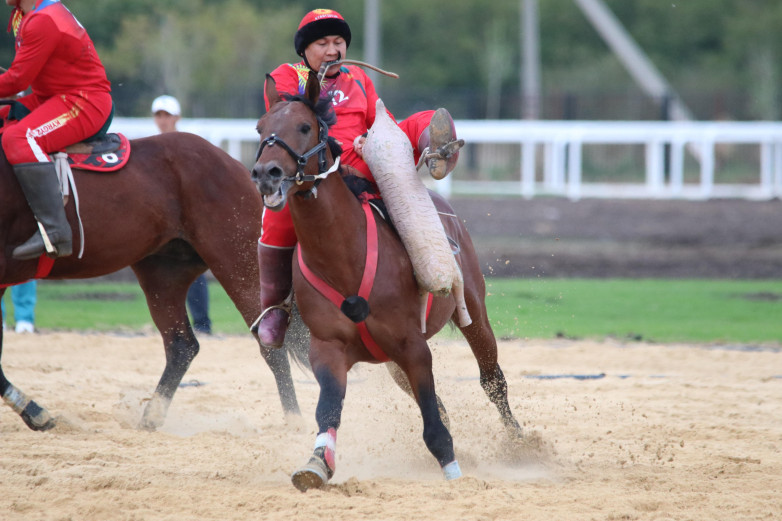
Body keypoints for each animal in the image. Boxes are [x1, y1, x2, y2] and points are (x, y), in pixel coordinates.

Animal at [1, 129, 308, 430]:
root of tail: (234, 162)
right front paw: (32, 410)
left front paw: (34, 410)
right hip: (163, 276)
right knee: (182, 345)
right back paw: (152, 416)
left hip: (238, 265)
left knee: (270, 345)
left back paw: (295, 421)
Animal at [254, 75, 524, 490]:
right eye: (260, 128)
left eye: (303, 126)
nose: (265, 173)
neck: (343, 259)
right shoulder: (328, 349)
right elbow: (328, 409)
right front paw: (317, 463)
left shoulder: (413, 346)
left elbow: (434, 423)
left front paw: (452, 471)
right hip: (392, 361)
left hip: (474, 314)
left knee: (492, 380)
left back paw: (522, 445)